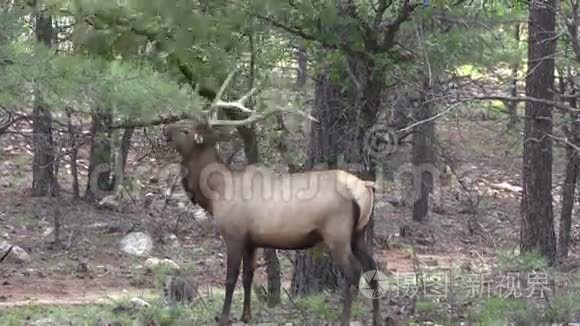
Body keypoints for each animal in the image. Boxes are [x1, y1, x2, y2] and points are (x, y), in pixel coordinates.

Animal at [164, 72, 380, 326]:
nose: (166, 129)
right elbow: (248, 276)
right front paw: (246, 315)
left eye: (186, 130)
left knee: (353, 273)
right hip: (358, 233)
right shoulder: (252, 240)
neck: (216, 193)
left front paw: (224, 317)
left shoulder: (234, 234)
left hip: (337, 233)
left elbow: (231, 278)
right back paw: (377, 320)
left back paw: (344, 319)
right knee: (373, 270)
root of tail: (365, 188)